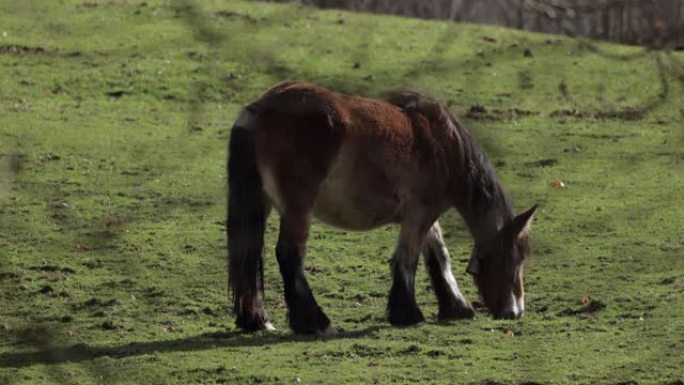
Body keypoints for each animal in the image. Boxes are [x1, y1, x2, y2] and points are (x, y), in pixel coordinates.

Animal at [227, 81, 536, 332]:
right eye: (516, 257)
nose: (515, 312)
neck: (443, 145)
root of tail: (261, 108)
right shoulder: (419, 216)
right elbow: (408, 260)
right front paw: (408, 314)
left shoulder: (423, 217)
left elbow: (438, 256)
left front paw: (455, 307)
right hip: (298, 209)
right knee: (290, 255)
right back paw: (316, 322)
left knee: (248, 252)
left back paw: (256, 319)